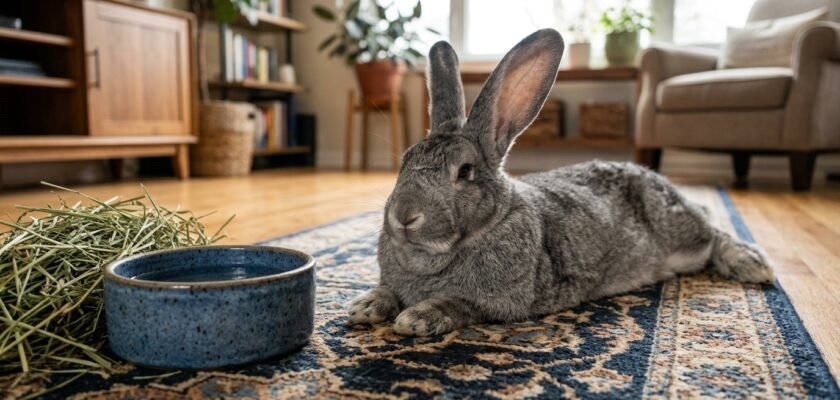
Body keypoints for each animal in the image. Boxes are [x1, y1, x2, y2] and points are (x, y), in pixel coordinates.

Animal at [347, 28, 774, 337]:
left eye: (465, 172)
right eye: (405, 160)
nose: (404, 216)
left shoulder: (503, 302)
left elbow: (460, 305)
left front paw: (416, 318)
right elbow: (387, 289)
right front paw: (365, 307)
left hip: (681, 237)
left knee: (713, 233)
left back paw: (753, 265)